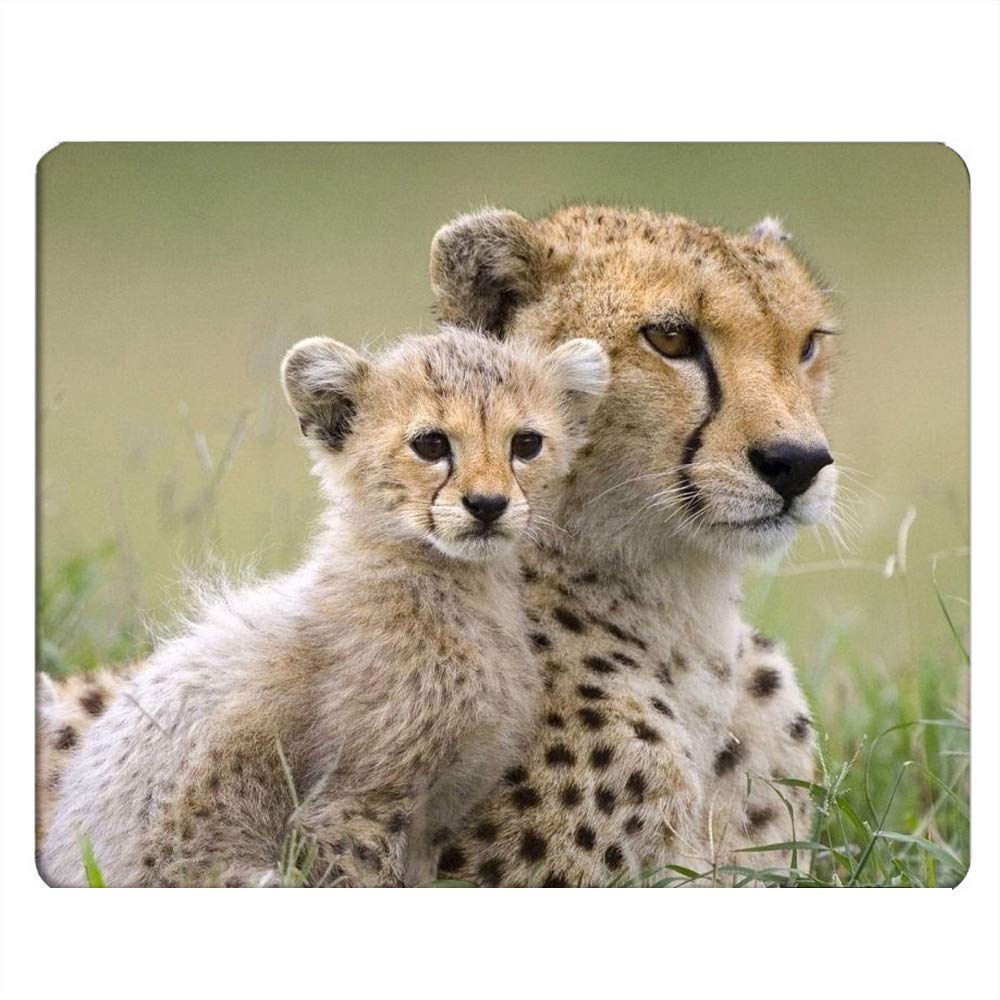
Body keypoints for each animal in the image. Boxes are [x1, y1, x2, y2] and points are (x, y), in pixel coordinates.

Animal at [39, 325, 610, 887]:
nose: (488, 505)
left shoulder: (431, 821)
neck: (452, 583)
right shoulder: (353, 804)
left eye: (526, 443)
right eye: (430, 443)